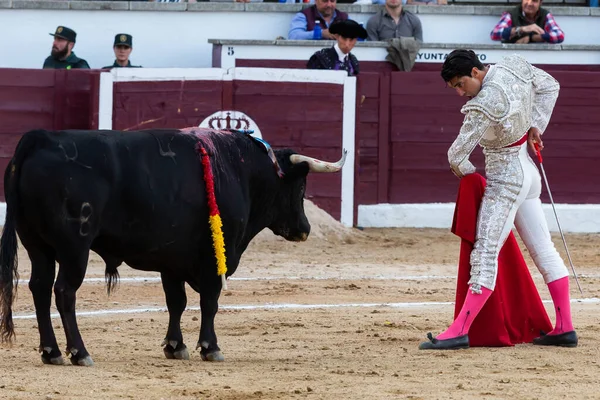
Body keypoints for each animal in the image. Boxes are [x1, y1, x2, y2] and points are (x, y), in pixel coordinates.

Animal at [0, 127, 346, 366]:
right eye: (300, 186)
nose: (304, 230)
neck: (238, 170)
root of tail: (40, 138)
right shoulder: (211, 259)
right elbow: (210, 301)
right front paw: (210, 347)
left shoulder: (171, 259)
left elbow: (176, 302)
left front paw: (175, 346)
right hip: (75, 248)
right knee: (64, 292)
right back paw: (79, 352)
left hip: (37, 245)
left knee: (40, 288)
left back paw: (51, 351)